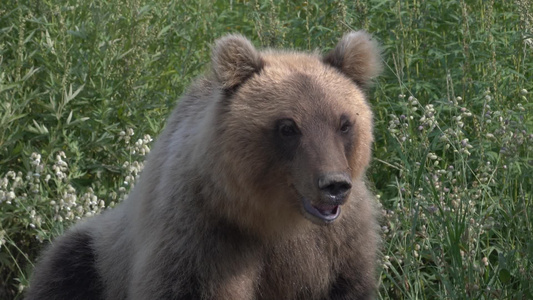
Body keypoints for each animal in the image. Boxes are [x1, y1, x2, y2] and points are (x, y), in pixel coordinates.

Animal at [26, 31, 382, 298]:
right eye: (287, 127)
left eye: (344, 123)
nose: (334, 185)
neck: (274, 219)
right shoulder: (202, 237)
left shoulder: (340, 245)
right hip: (100, 253)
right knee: (66, 266)